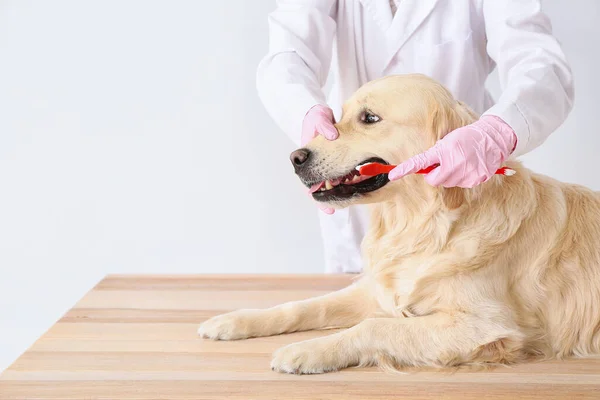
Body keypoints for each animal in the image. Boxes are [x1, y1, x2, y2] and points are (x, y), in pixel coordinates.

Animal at [198, 72, 600, 376]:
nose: (295, 157)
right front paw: (234, 321)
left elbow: (376, 325)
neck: (419, 226)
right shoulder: (375, 289)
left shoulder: (487, 326)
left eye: (369, 118)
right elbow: (305, 305)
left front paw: (306, 351)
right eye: (336, 117)